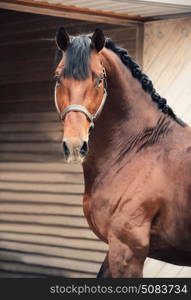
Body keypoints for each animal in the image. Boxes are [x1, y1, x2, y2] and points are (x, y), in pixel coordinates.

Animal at [53, 27, 191, 278]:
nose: (75, 145)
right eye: (58, 78)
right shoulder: (113, 248)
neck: (139, 148)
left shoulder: (127, 249)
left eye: (99, 79)